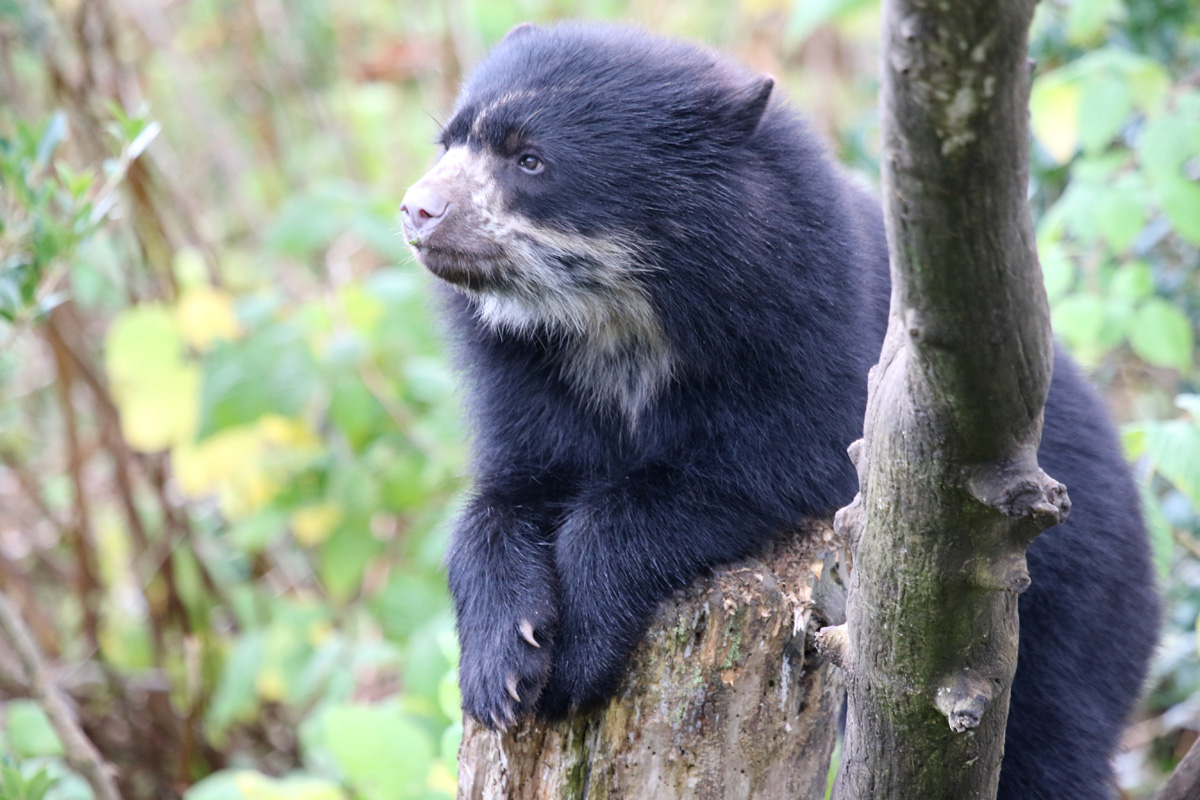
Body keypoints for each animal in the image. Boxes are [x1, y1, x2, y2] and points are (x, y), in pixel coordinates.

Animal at [399, 22, 1160, 800]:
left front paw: (580, 652)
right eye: (448, 142)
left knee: (1048, 746)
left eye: (531, 159)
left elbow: (756, 471)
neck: (622, 323)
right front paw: (502, 667)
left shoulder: (811, 341)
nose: (418, 209)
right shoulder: (526, 372)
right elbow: (506, 496)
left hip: (1066, 614)